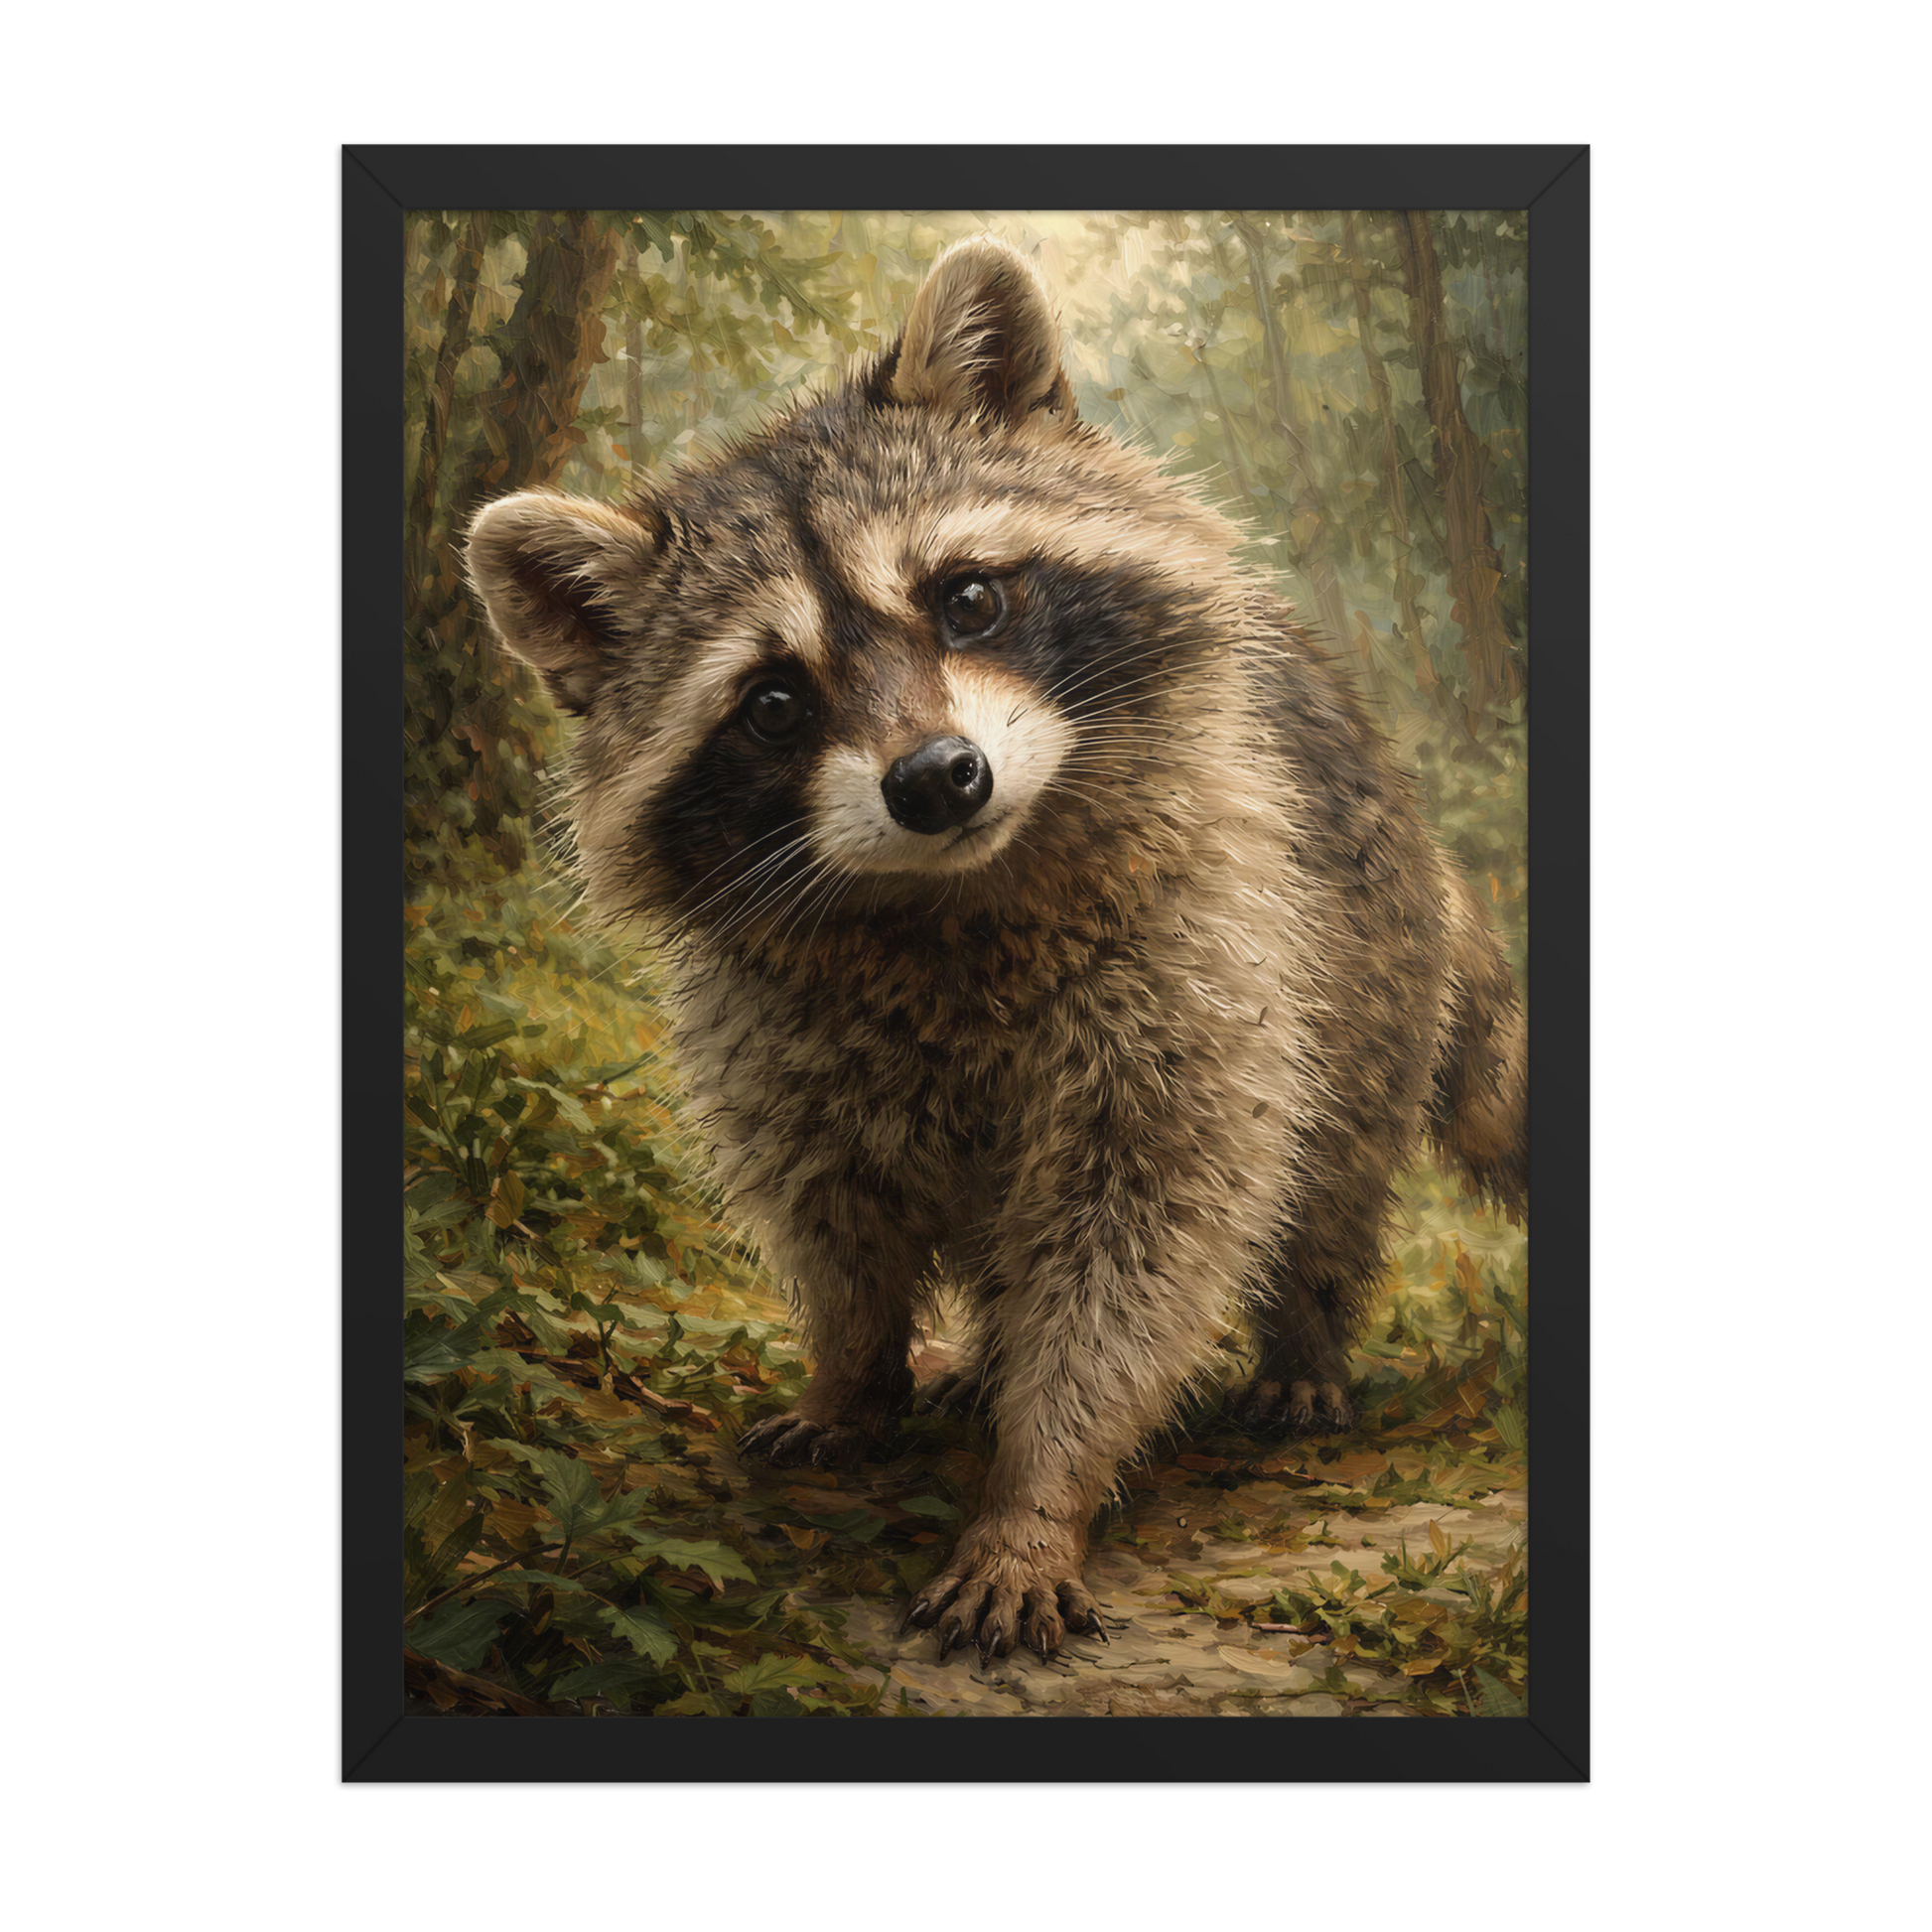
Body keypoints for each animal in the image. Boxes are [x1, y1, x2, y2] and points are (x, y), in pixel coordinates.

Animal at [465, 235, 1526, 1666]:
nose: (936, 779)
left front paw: (1037, 1491)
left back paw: (1302, 1335)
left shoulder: (1202, 952)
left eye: (965, 597)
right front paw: (853, 1372)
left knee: (1330, 1169)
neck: (948, 898)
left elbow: (1137, 1241)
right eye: (772, 701)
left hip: (1363, 960)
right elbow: (831, 1215)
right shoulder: (772, 1030)